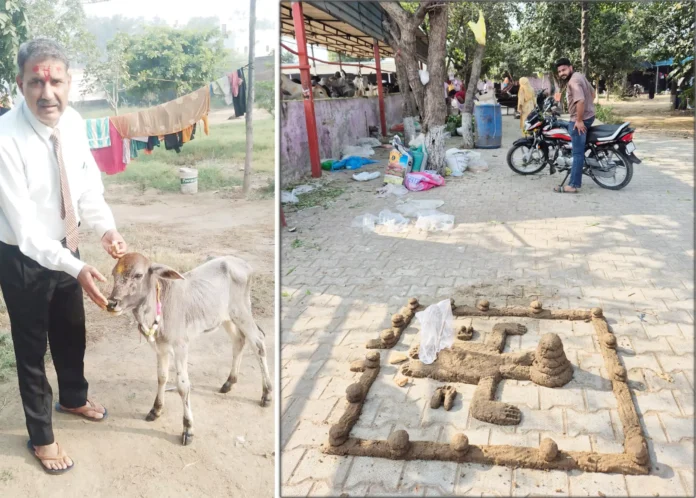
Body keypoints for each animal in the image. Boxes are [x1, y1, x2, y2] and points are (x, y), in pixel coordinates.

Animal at [104, 255, 270, 446]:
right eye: (113, 274)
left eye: (138, 275)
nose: (111, 303)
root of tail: (242, 263)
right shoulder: (160, 348)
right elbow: (161, 377)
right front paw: (156, 410)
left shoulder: (181, 346)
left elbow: (183, 386)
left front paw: (188, 428)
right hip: (226, 318)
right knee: (239, 340)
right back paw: (229, 382)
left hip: (241, 313)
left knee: (258, 342)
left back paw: (267, 394)